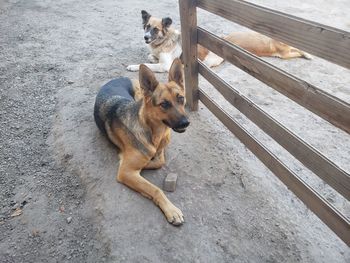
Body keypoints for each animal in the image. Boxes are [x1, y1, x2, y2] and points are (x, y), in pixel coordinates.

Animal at [93, 58, 189, 226]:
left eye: (181, 98)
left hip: (138, 95)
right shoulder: (126, 172)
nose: (186, 123)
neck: (155, 132)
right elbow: (155, 188)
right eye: (164, 104)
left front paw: (149, 162)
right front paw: (171, 210)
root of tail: (119, 77)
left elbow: (160, 161)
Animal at [126, 10, 312, 72]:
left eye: (155, 29)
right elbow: (150, 58)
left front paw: (133, 66)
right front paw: (151, 57)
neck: (163, 42)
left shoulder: (165, 65)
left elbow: (146, 64)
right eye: (146, 26)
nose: (145, 37)